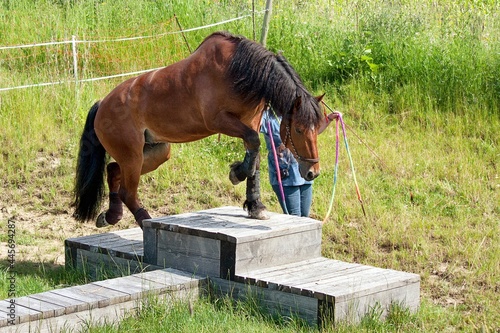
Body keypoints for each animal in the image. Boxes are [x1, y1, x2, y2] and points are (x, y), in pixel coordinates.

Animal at [73, 31, 324, 227]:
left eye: (317, 129)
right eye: (299, 129)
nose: (313, 172)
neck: (239, 72)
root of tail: (102, 104)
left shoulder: (250, 122)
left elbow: (255, 158)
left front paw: (255, 205)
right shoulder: (219, 121)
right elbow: (254, 144)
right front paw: (237, 173)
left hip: (155, 152)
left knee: (114, 170)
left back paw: (111, 216)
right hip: (133, 156)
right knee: (128, 191)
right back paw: (146, 223)